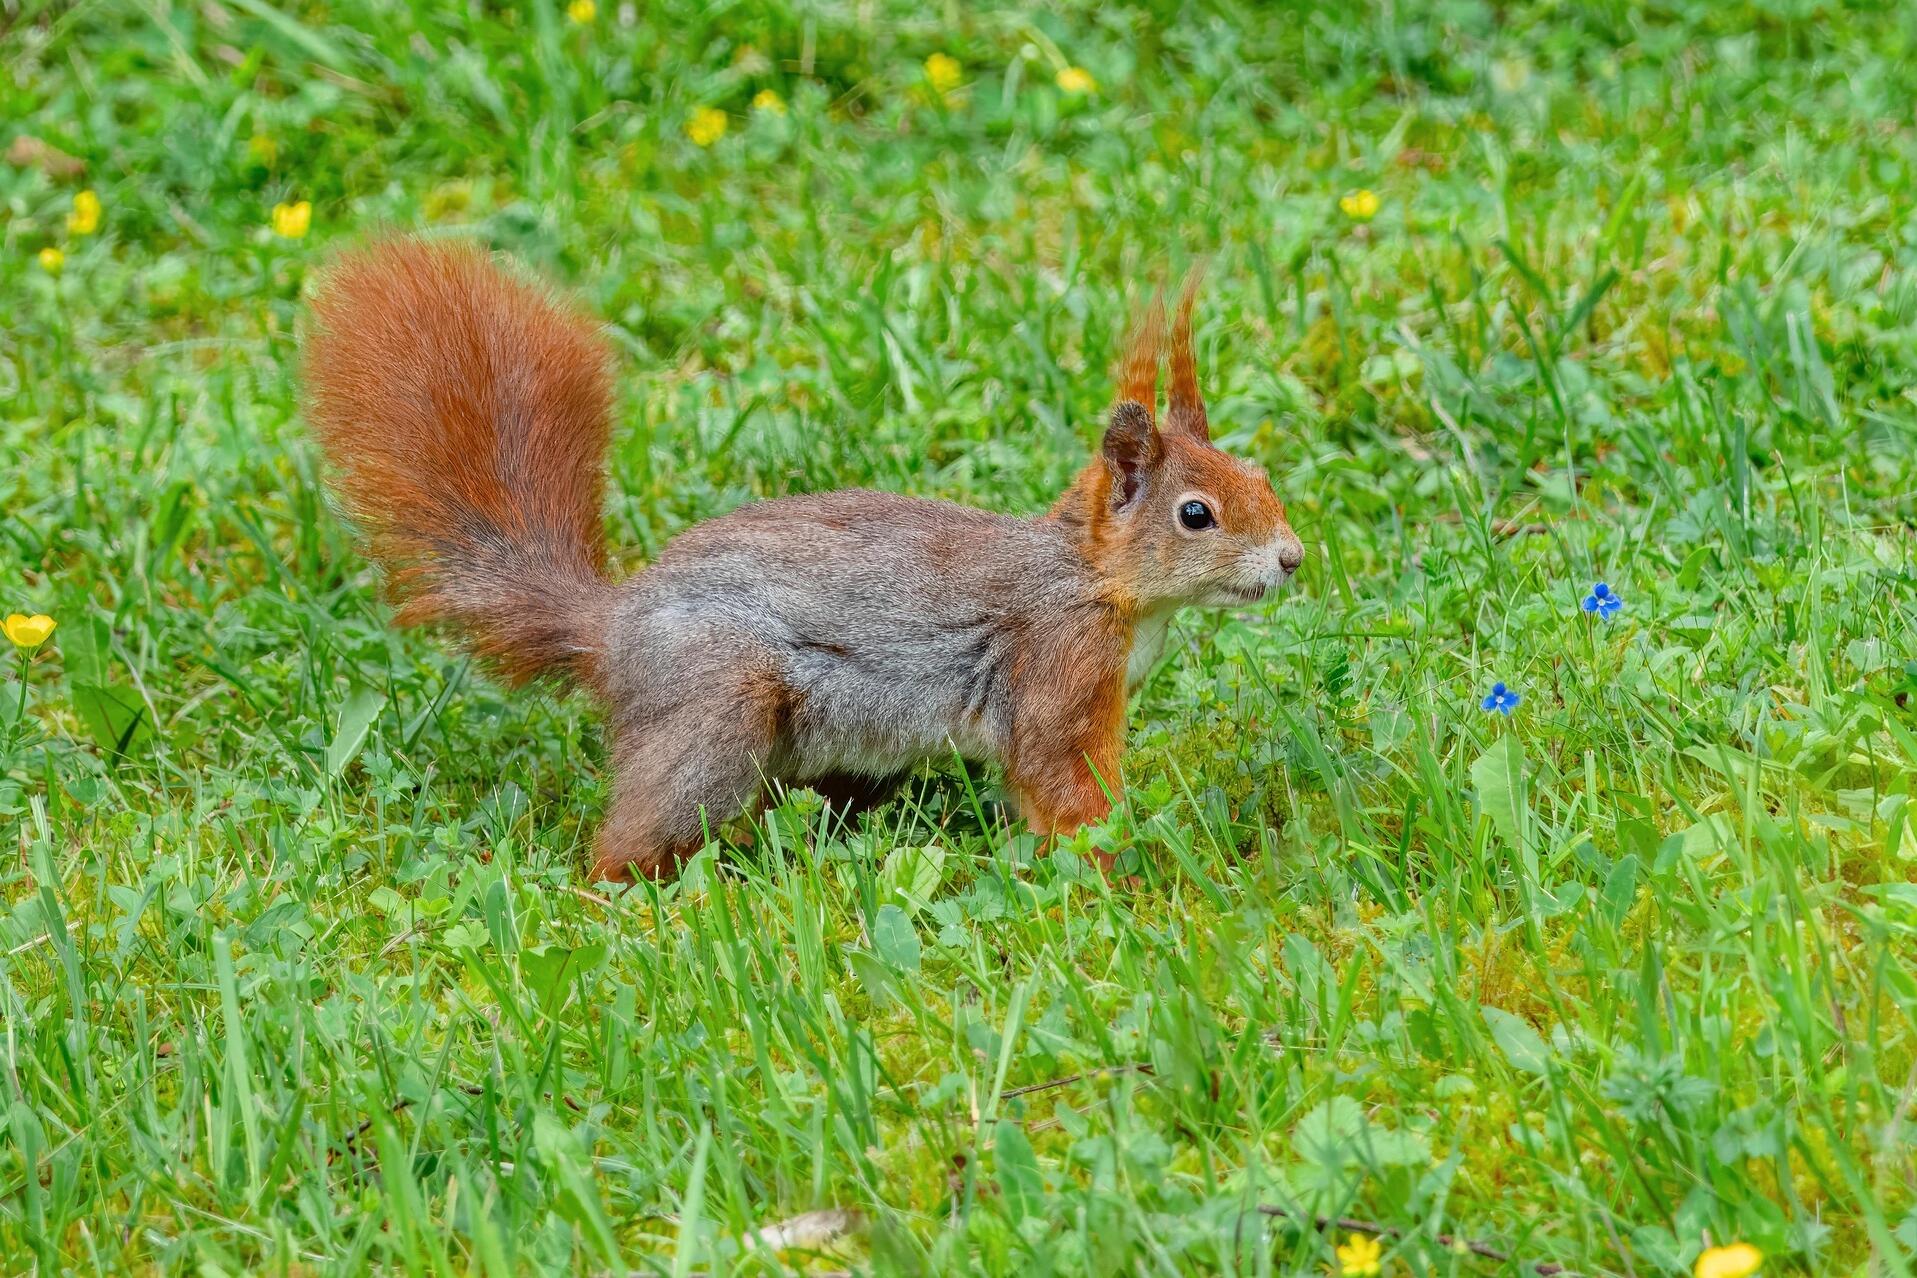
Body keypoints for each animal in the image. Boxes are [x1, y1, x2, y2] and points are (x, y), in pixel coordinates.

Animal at [301, 239, 1304, 881]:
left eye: (1260, 473)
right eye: (1196, 514)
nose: (1293, 559)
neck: (1096, 582)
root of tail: (610, 631)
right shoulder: (1057, 665)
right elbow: (1060, 778)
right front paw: (1121, 870)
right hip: (715, 706)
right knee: (634, 836)